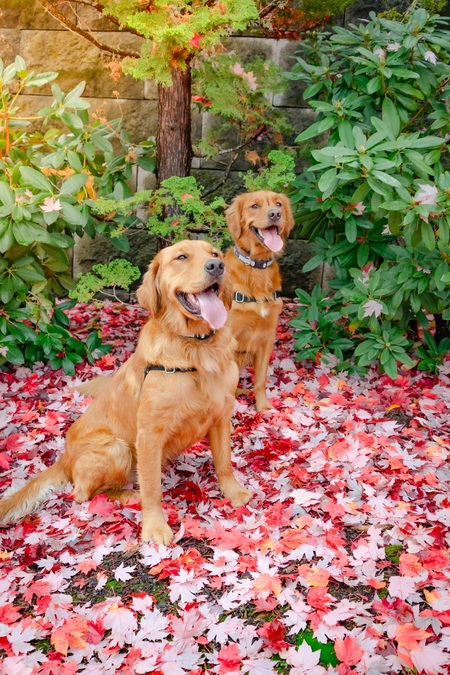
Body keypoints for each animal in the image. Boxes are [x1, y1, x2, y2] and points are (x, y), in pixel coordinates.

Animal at [0, 240, 253, 548]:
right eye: (181, 257)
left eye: (215, 254)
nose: (217, 267)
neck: (196, 349)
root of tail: (64, 458)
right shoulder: (148, 434)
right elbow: (152, 488)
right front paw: (155, 526)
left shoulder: (221, 417)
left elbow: (224, 462)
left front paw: (234, 492)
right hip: (116, 448)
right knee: (83, 494)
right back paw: (127, 494)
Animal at [225, 190, 296, 412]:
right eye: (254, 206)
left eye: (279, 204)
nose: (275, 214)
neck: (256, 267)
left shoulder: (267, 337)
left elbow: (261, 379)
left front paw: (263, 407)